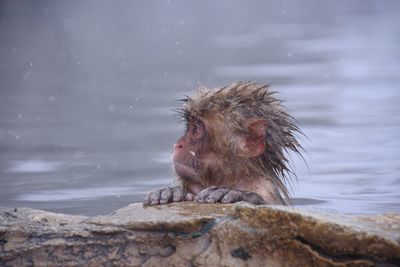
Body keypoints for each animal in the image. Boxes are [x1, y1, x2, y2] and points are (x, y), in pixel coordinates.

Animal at [144, 81, 304, 207]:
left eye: (196, 128)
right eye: (189, 126)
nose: (178, 145)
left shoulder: (266, 191)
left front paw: (237, 194)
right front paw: (170, 192)